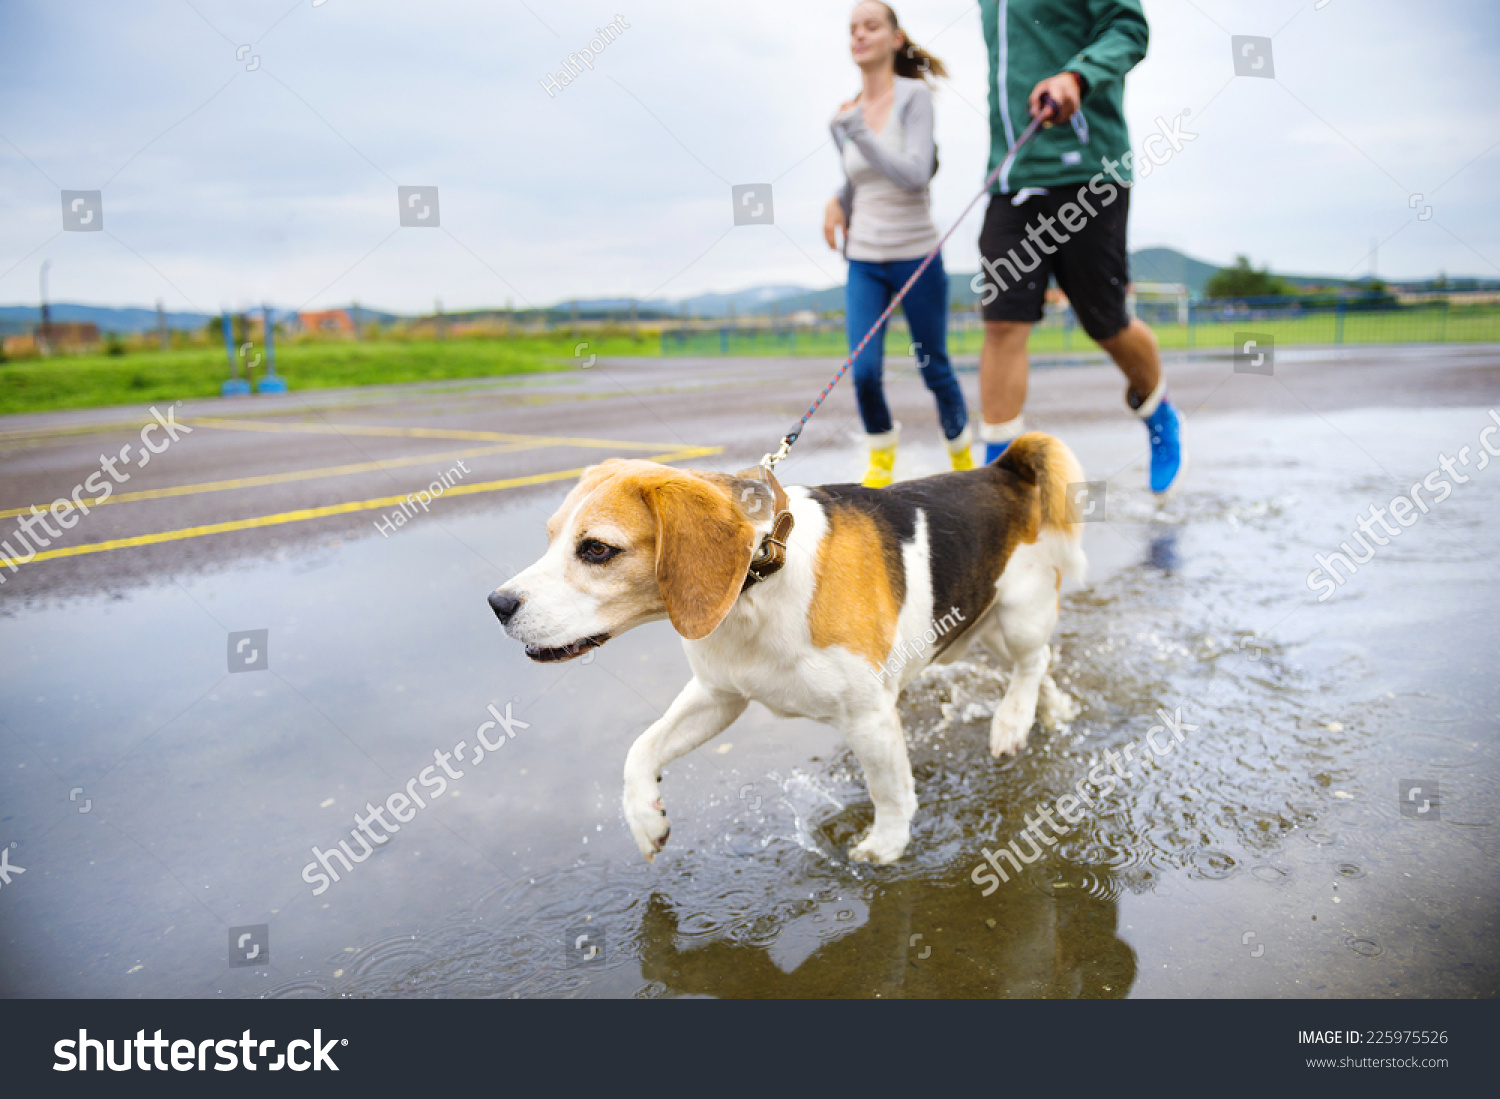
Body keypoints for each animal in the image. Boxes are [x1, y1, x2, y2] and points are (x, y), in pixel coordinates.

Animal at [492, 431, 1092, 863]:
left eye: (596, 549)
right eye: (550, 537)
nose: (498, 603)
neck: (761, 577)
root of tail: (1002, 469)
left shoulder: (870, 716)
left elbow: (889, 790)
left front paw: (887, 846)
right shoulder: (719, 695)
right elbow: (641, 749)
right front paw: (646, 819)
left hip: (1018, 616)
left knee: (1034, 660)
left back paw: (1011, 721)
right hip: (976, 628)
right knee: (1039, 666)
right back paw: (1047, 710)